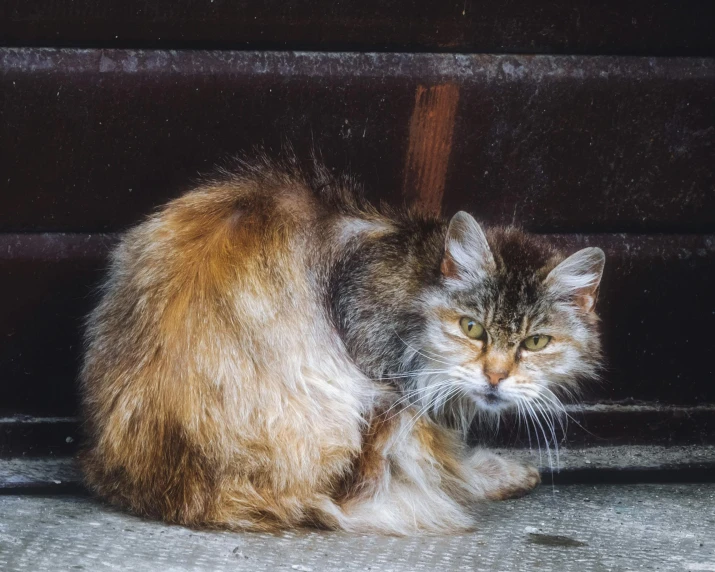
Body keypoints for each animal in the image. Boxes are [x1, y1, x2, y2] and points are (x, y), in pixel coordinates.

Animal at [79, 155, 604, 532]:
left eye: (536, 342)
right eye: (472, 328)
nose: (495, 375)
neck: (415, 270)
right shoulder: (389, 379)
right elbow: (444, 461)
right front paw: (491, 474)